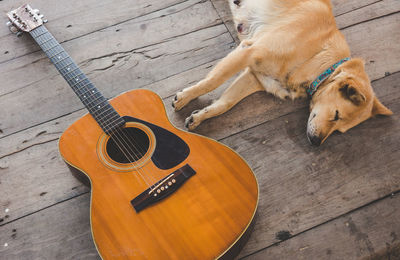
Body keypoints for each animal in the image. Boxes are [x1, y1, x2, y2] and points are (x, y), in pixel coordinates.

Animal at [171, 0, 390, 145]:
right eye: (336, 115)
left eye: (340, 130)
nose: (316, 142)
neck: (318, 58)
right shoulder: (249, 51)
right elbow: (212, 81)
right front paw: (185, 97)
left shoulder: (255, 77)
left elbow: (225, 103)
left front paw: (200, 116)